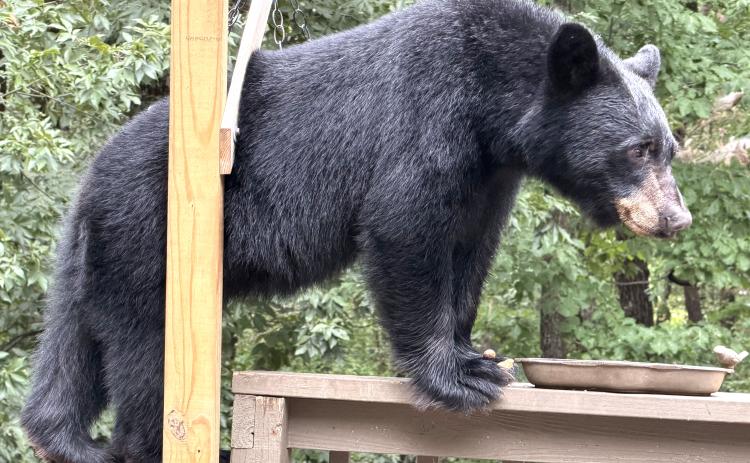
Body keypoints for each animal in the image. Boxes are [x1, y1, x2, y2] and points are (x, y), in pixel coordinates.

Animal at [21, 0, 691, 462]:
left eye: (670, 149)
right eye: (637, 149)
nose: (675, 217)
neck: (493, 101)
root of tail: (91, 178)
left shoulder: (491, 174)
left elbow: (471, 246)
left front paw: (476, 349)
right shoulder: (428, 115)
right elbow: (405, 226)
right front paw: (458, 375)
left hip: (99, 249)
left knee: (74, 339)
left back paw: (62, 437)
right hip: (145, 231)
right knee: (144, 351)